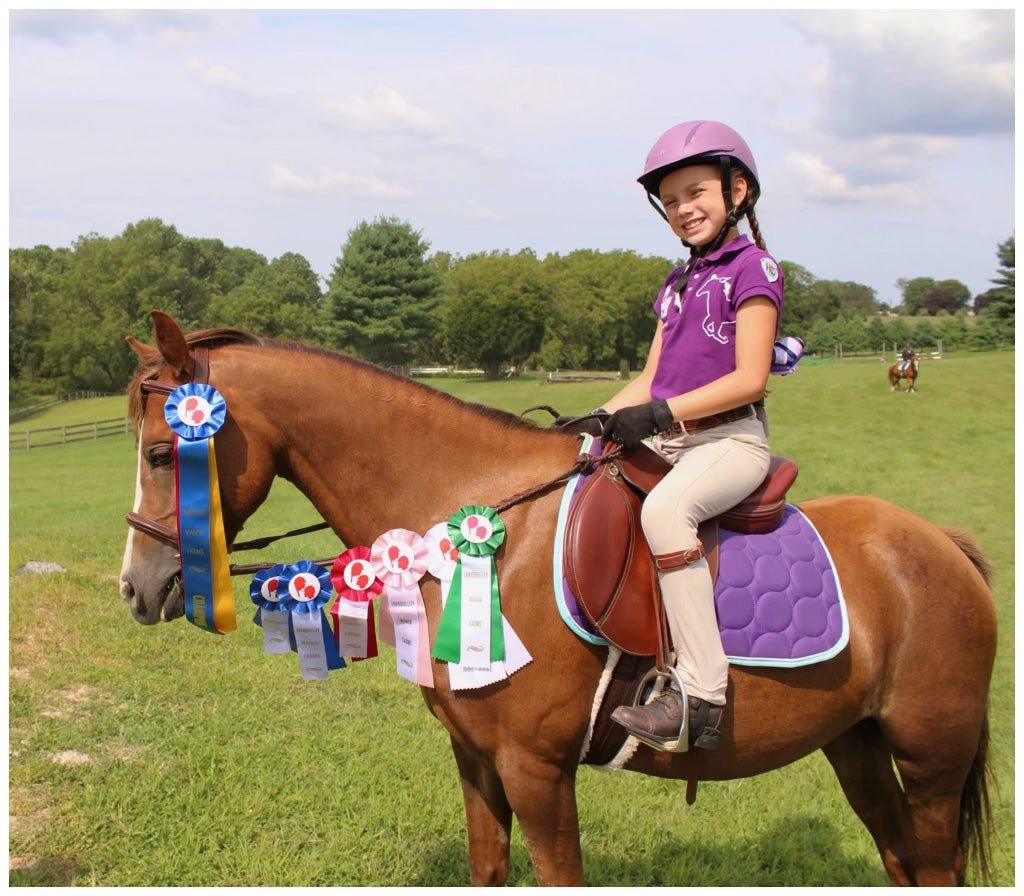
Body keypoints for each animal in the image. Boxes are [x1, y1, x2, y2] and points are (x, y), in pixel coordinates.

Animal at [117, 311, 991, 884]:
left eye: (163, 452)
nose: (137, 585)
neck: (481, 533)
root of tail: (943, 543)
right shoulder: (476, 758)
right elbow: (487, 868)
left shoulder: (537, 769)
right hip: (857, 745)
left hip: (932, 758)